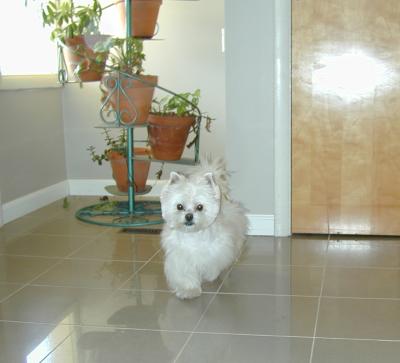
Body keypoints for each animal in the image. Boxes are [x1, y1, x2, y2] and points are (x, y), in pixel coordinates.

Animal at [159, 158, 247, 300]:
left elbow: (213, 264)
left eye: (200, 207)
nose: (189, 216)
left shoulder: (215, 252)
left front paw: (209, 276)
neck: (193, 234)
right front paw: (189, 290)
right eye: (179, 206)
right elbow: (185, 275)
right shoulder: (180, 258)